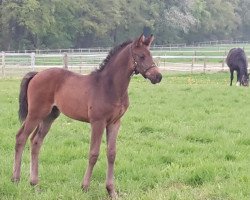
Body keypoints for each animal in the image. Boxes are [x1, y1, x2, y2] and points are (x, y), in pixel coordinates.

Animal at [11, 34, 162, 198]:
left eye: (150, 55)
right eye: (141, 56)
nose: (158, 76)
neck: (109, 86)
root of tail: (37, 74)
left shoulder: (115, 123)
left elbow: (111, 154)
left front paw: (111, 191)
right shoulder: (98, 122)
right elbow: (94, 153)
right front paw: (85, 187)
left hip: (49, 116)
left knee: (35, 141)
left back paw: (34, 183)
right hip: (36, 113)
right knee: (21, 137)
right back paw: (16, 179)